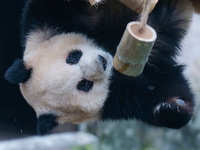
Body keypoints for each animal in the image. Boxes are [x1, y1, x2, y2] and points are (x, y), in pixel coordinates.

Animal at [4, 0, 197, 135]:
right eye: (84, 84)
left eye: (72, 58)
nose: (102, 61)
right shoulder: (118, 99)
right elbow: (163, 90)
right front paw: (171, 108)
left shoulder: (42, 23)